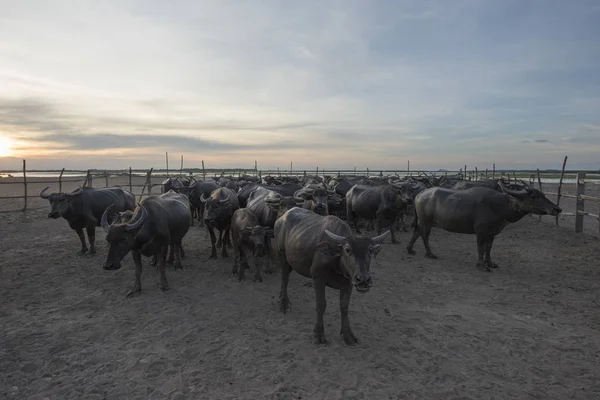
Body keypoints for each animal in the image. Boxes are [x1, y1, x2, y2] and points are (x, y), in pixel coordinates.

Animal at [276, 208, 392, 346]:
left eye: (370, 251)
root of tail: (282, 217)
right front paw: (318, 334)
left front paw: (348, 335)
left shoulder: (348, 285)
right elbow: (321, 305)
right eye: (347, 250)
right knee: (284, 278)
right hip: (282, 256)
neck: (337, 263)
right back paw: (284, 303)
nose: (363, 280)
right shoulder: (318, 278)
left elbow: (344, 307)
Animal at [408, 182, 564, 272]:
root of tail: (420, 194)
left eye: (543, 194)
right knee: (424, 235)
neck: (500, 206)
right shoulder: (481, 232)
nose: (557, 209)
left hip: (422, 222)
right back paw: (430, 253)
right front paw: (481, 265)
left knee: (416, 232)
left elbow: (489, 248)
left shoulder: (492, 233)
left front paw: (490, 263)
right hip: (427, 222)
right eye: (534, 197)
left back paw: (410, 249)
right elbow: (481, 248)